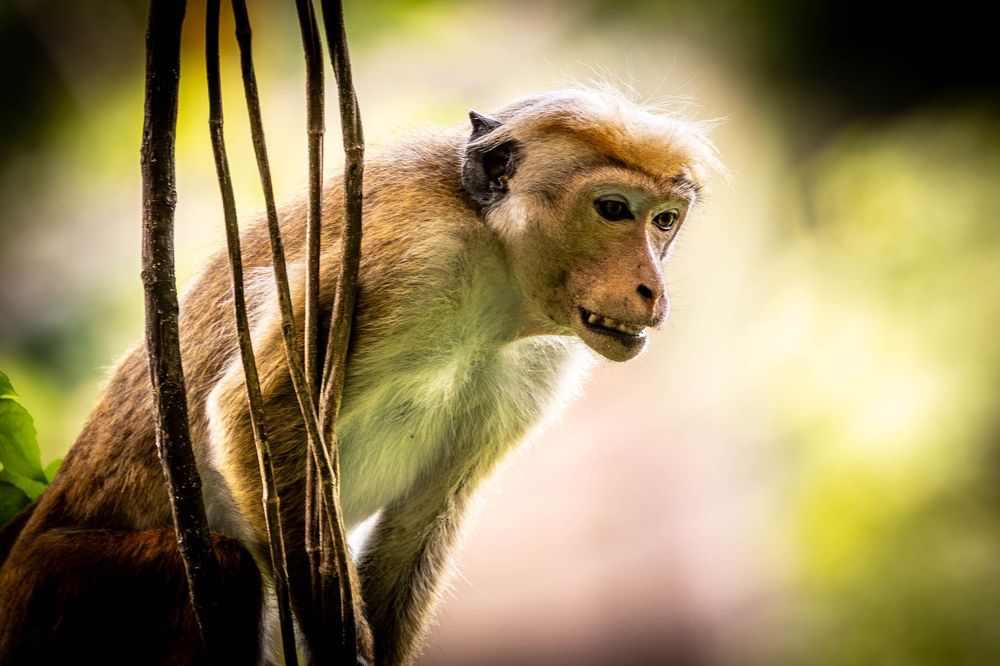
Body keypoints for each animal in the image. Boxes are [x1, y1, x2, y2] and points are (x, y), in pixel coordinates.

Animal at [0, 87, 721, 664]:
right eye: (612, 209)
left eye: (664, 221)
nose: (652, 289)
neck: (493, 268)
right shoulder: (407, 258)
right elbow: (253, 414)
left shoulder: (540, 360)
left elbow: (429, 507)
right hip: (61, 587)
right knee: (227, 567)